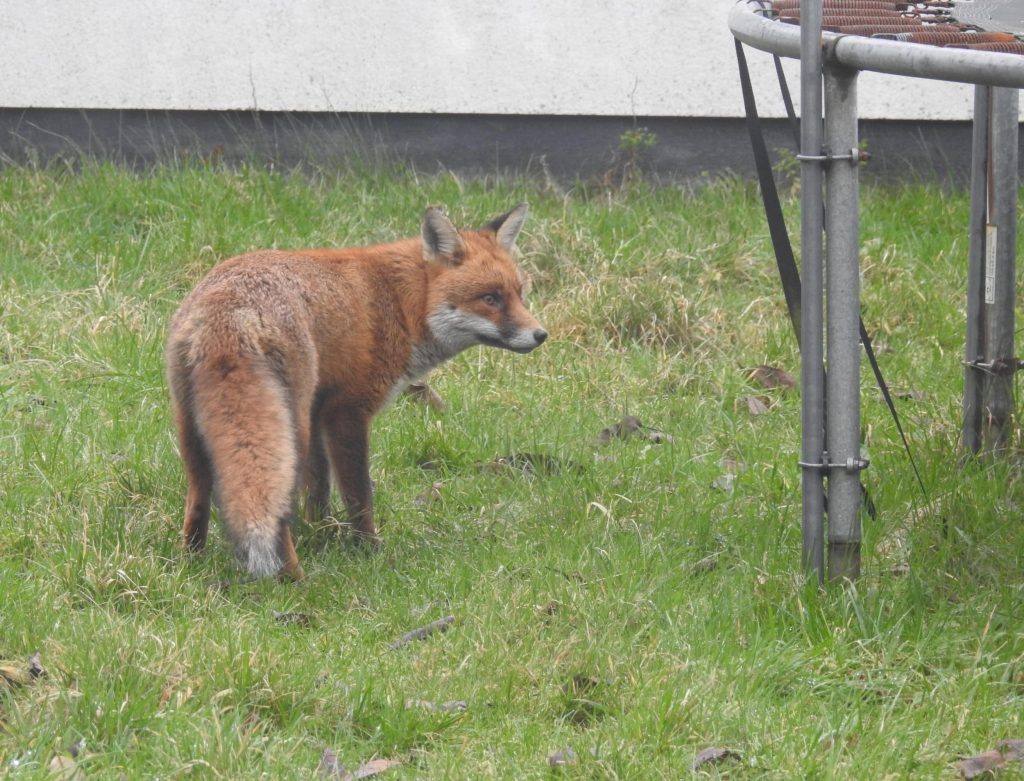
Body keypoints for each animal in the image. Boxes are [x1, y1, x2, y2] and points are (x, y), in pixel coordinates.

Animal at [166, 202, 548, 581]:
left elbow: (318, 488)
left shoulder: (319, 409)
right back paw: (293, 578)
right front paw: (368, 548)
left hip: (194, 425)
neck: (400, 302)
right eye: (490, 299)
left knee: (199, 496)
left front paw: (322, 533)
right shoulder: (346, 411)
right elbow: (359, 492)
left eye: (519, 294)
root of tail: (230, 311)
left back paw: (191, 561)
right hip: (289, 426)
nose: (540, 335)